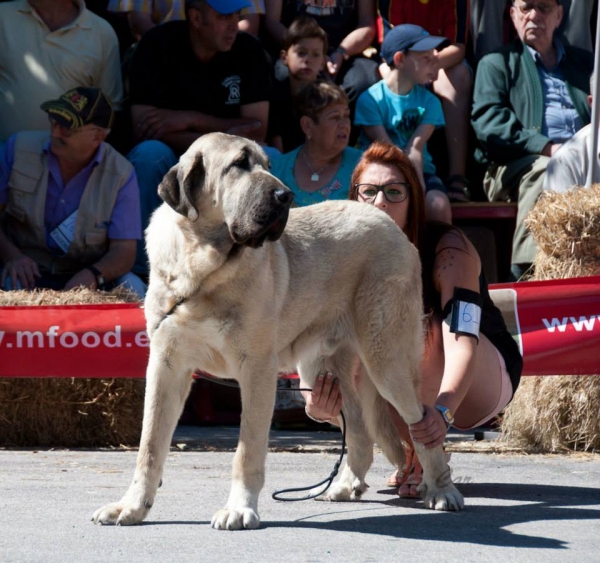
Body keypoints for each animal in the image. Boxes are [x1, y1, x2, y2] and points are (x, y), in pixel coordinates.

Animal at [92, 134, 464, 532]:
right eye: (239, 165)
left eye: (268, 165)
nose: (286, 195)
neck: (204, 265)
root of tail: (390, 224)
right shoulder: (167, 367)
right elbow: (149, 446)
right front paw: (131, 507)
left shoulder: (256, 369)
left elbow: (247, 448)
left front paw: (239, 508)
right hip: (320, 371)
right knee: (361, 429)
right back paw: (346, 485)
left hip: (386, 361)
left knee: (423, 423)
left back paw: (441, 490)